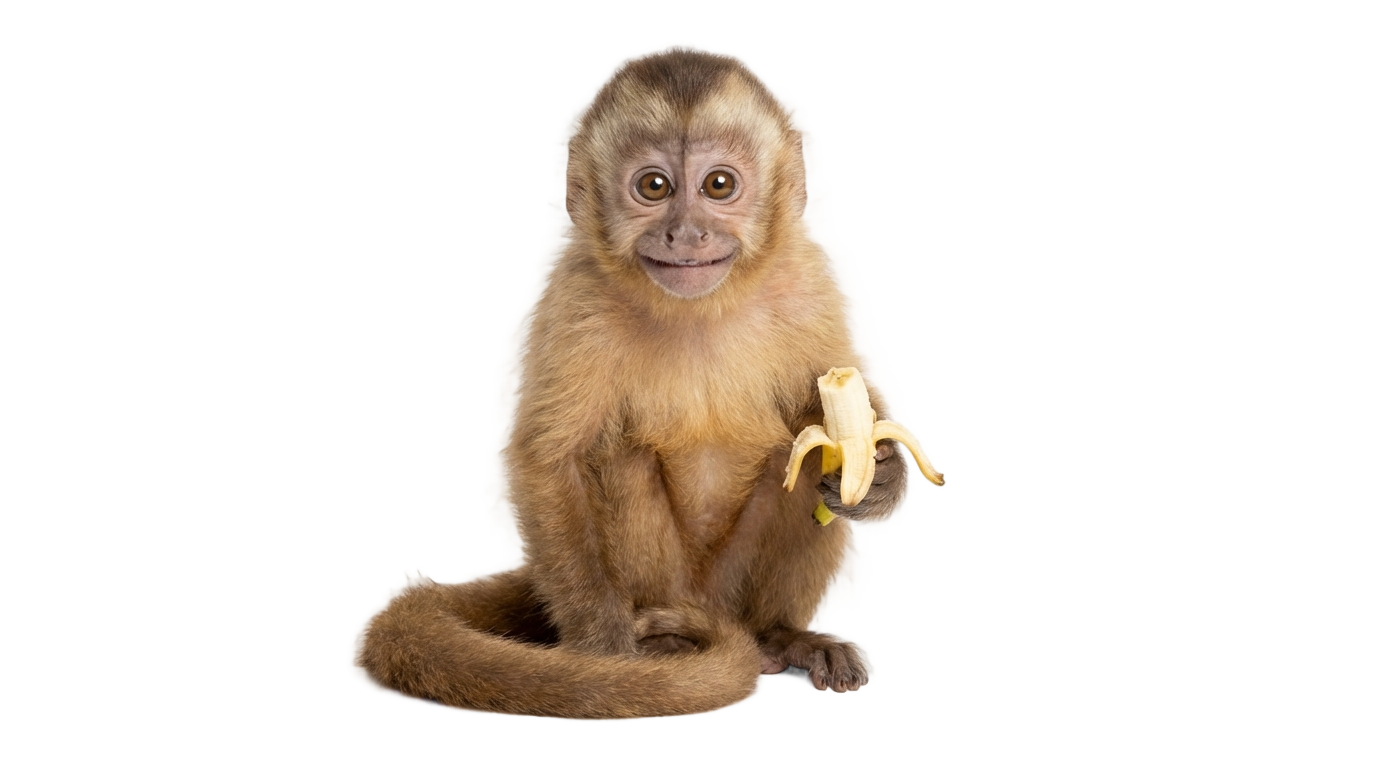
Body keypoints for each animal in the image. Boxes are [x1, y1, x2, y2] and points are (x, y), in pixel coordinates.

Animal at [359, 48, 915, 718]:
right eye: (654, 187)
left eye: (718, 185)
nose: (686, 234)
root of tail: (710, 608)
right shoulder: (577, 294)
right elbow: (551, 459)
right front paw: (605, 654)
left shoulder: (804, 278)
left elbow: (822, 401)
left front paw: (882, 469)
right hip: (670, 587)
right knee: (619, 457)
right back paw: (667, 644)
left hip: (730, 585)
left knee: (800, 454)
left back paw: (779, 635)